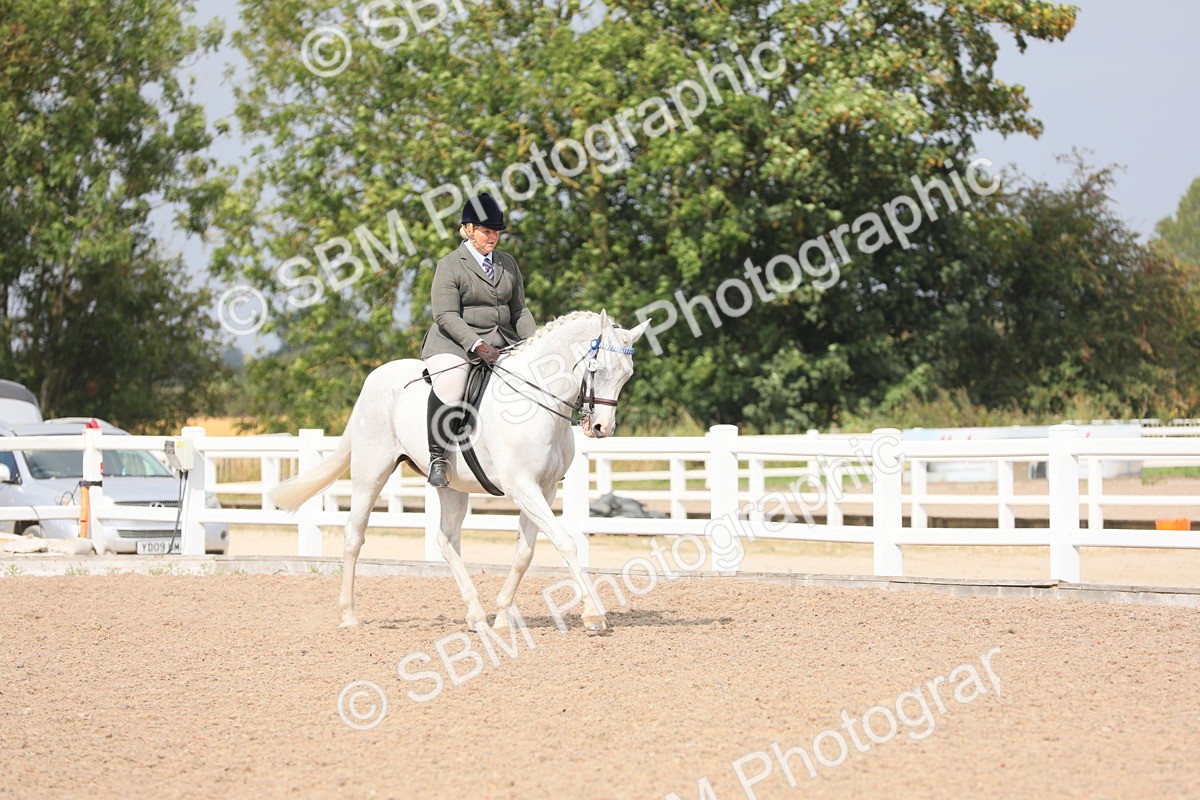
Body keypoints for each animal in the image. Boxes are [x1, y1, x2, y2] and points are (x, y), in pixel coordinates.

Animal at [268, 310, 651, 632]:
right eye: (597, 369)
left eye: (627, 375)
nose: (601, 428)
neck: (538, 402)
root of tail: (374, 378)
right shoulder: (522, 487)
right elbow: (566, 543)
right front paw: (594, 614)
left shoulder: (544, 489)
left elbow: (525, 554)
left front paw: (502, 616)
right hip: (370, 473)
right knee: (354, 536)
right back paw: (349, 615)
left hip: (452, 488)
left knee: (446, 540)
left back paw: (477, 616)